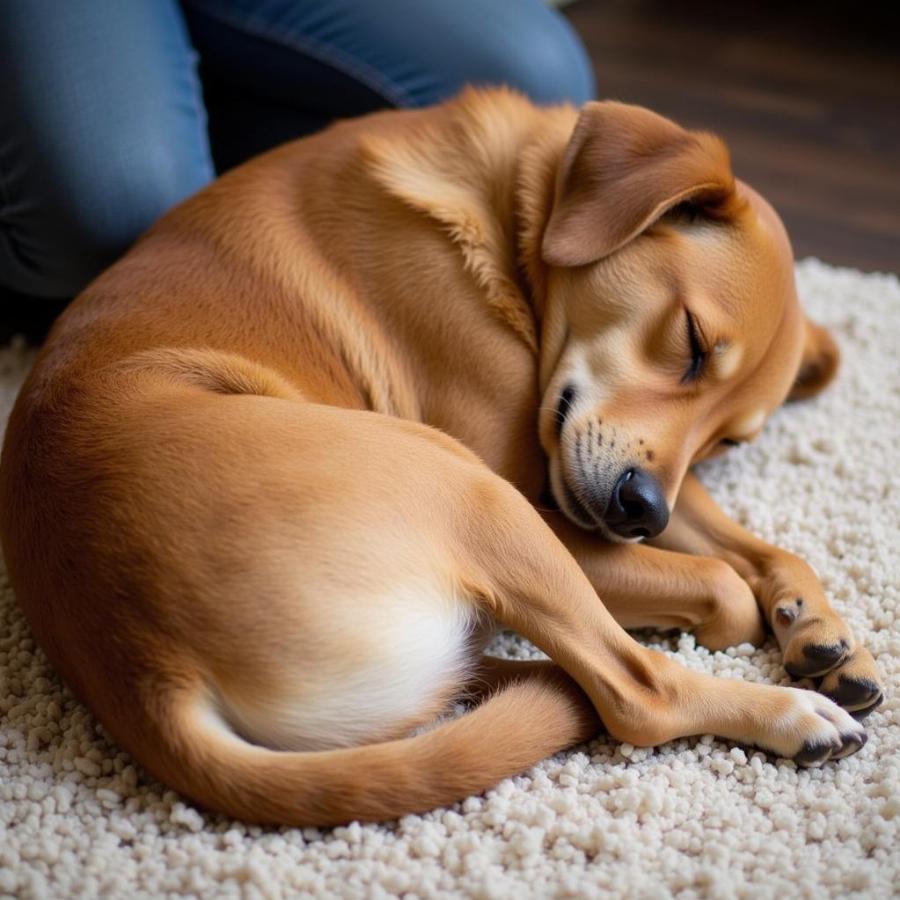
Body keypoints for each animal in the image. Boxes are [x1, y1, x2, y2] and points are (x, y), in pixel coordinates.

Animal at [0, 88, 884, 828]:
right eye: (694, 344)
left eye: (729, 440)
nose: (641, 513)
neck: (503, 220)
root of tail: (145, 672)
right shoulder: (553, 495)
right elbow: (725, 587)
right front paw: (776, 629)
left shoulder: (598, 474)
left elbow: (765, 549)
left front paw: (824, 631)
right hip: (476, 495)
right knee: (637, 693)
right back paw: (790, 717)